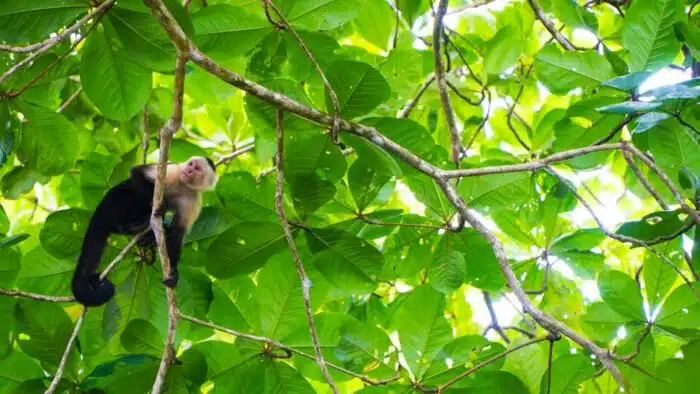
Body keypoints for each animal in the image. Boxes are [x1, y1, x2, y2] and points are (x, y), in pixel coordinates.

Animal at [72, 157, 217, 308]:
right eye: (190, 164)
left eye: (197, 169)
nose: (188, 170)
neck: (185, 185)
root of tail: (99, 211)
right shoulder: (175, 171)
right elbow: (137, 173)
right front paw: (163, 205)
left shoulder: (193, 202)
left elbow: (177, 233)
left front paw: (174, 272)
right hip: (114, 204)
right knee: (132, 191)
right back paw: (138, 225)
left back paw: (148, 236)